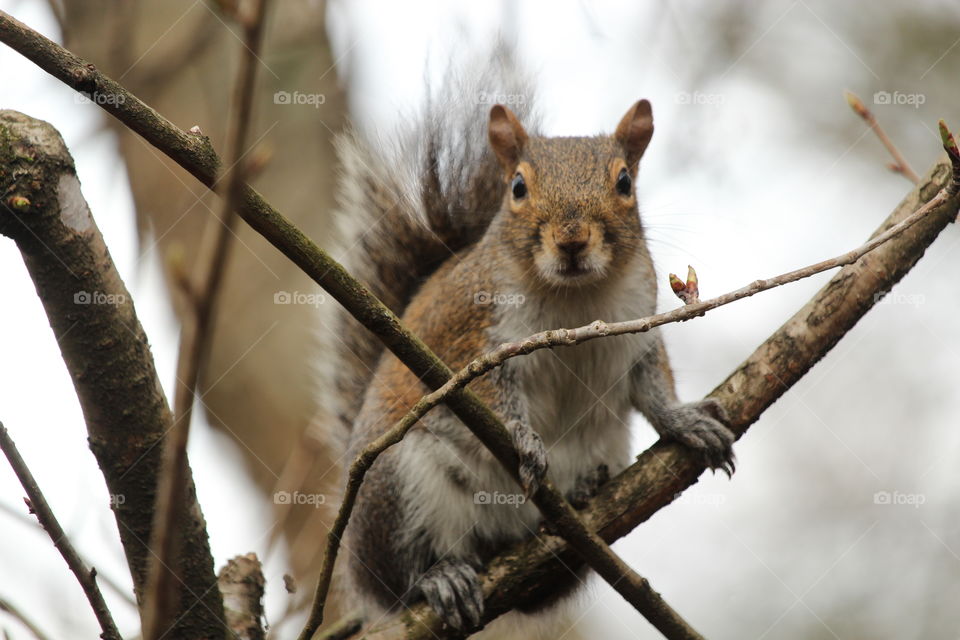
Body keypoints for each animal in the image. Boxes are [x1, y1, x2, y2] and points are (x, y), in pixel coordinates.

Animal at [327, 59, 736, 636]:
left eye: (625, 183)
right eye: (518, 186)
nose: (571, 239)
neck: (573, 296)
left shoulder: (638, 327)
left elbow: (653, 384)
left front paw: (684, 421)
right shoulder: (473, 342)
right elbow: (492, 402)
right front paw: (524, 440)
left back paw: (585, 489)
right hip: (395, 484)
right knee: (399, 580)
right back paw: (438, 578)